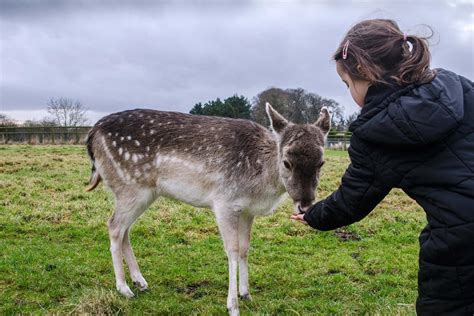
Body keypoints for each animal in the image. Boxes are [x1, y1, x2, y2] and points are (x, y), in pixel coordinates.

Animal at [85, 102, 330, 314]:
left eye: (321, 163)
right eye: (287, 162)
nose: (305, 204)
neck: (260, 182)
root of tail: (92, 134)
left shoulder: (247, 210)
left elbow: (245, 248)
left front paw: (246, 294)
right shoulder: (224, 202)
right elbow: (232, 250)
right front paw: (232, 306)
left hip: (141, 193)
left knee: (124, 229)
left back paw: (140, 281)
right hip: (131, 187)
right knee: (114, 225)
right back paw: (124, 288)